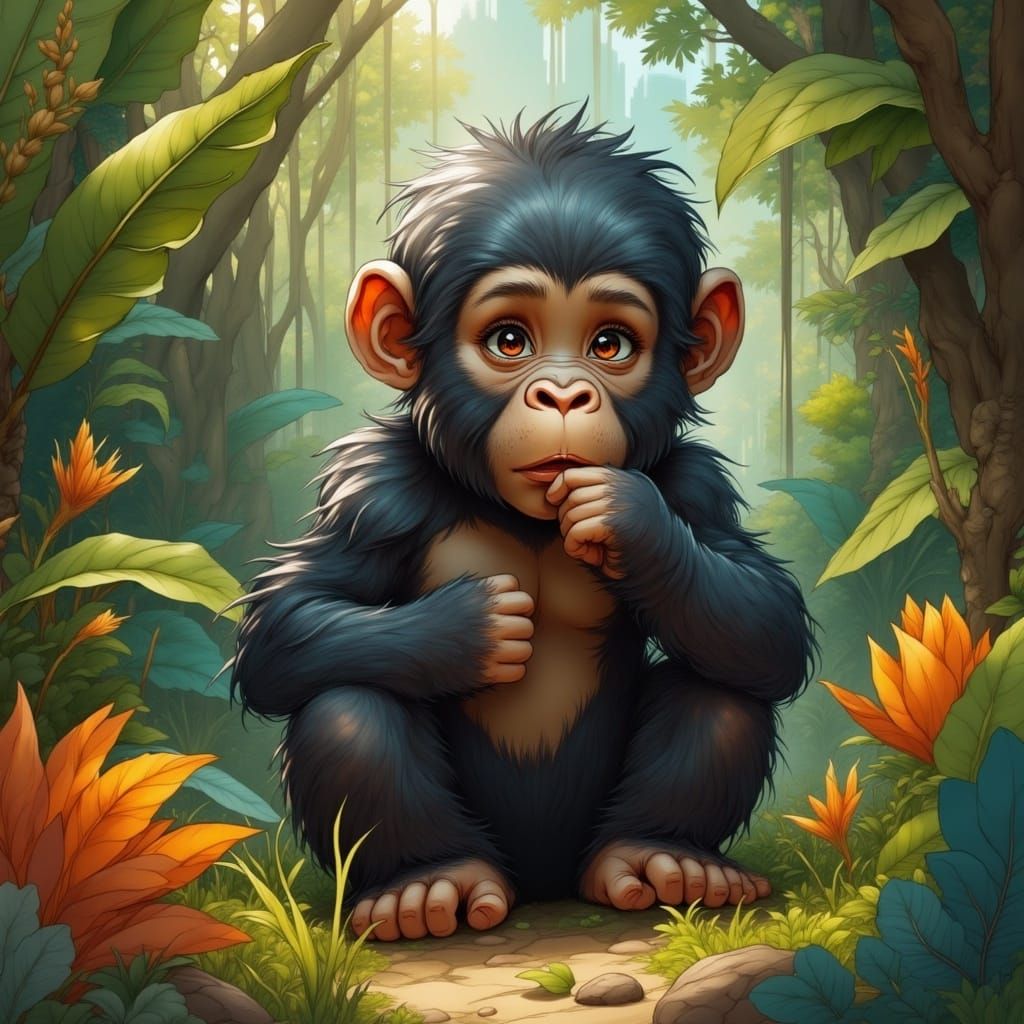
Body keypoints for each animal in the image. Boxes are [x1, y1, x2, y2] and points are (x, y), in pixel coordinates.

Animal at [229, 108, 815, 941]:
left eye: (610, 344)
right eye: (510, 340)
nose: (565, 394)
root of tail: (542, 886)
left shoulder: (695, 482)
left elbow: (770, 618)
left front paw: (630, 519)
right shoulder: (376, 486)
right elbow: (284, 624)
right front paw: (469, 628)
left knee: (725, 680)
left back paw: (662, 856)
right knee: (345, 702)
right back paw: (427, 881)